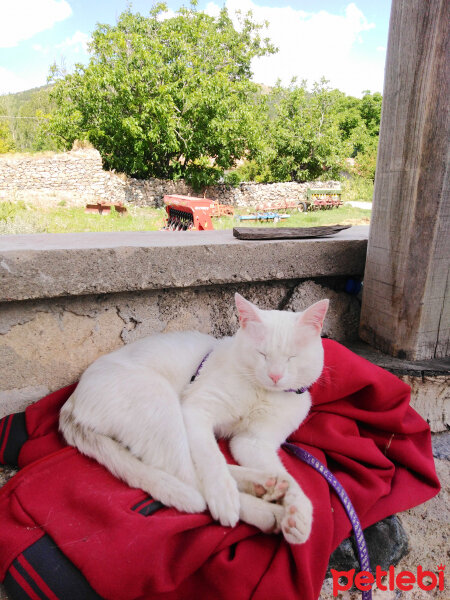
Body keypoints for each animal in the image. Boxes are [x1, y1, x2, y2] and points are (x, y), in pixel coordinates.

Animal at [59, 292, 328, 548]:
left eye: (292, 357)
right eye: (261, 354)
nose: (275, 375)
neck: (263, 392)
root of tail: (71, 401)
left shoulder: (254, 442)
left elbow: (284, 474)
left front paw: (299, 513)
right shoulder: (196, 410)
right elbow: (211, 458)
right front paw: (225, 496)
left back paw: (265, 484)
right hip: (161, 401)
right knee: (189, 476)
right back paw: (263, 510)